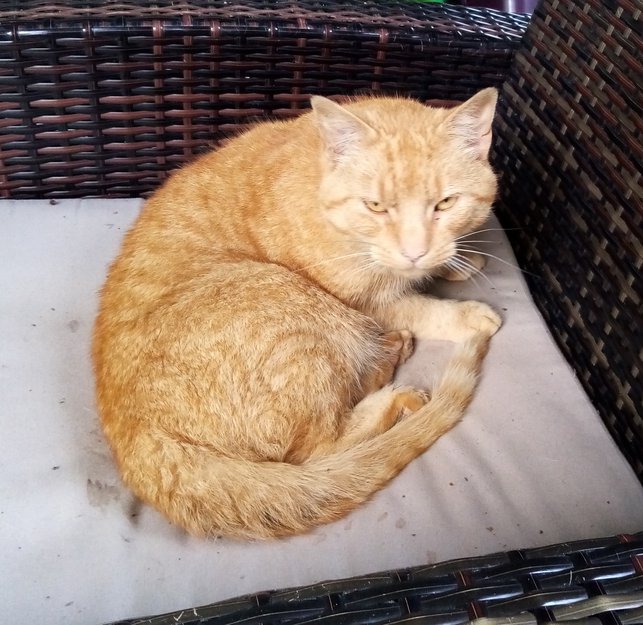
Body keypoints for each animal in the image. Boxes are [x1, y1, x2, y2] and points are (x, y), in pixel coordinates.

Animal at [92, 88, 502, 539]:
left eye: (445, 203)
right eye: (376, 206)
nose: (415, 251)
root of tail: (139, 444)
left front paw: (457, 262)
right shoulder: (366, 301)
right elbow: (417, 306)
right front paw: (467, 314)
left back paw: (388, 354)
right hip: (296, 307)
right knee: (320, 450)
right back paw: (394, 388)